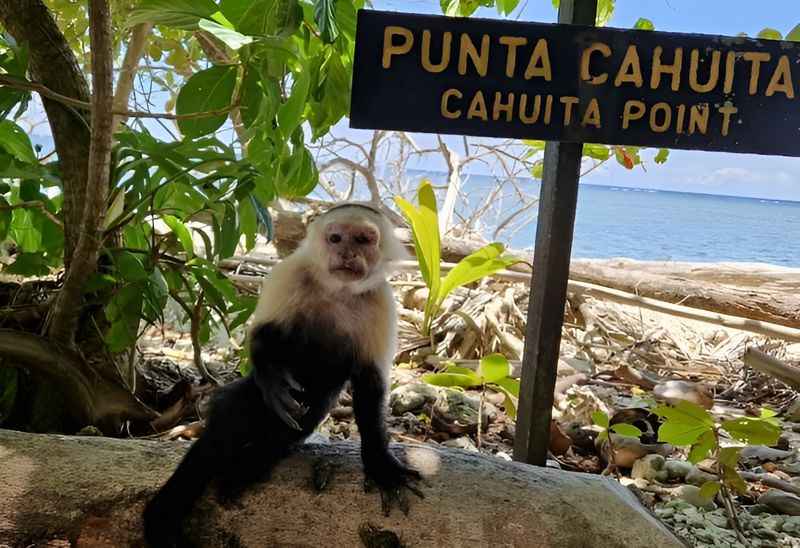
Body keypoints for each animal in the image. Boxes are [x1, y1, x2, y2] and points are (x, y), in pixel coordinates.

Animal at [144, 203, 422, 544]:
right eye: (335, 238)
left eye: (363, 239)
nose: (346, 253)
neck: (338, 291)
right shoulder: (290, 273)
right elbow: (262, 334)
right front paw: (275, 381)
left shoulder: (381, 300)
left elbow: (371, 386)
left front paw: (380, 464)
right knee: (230, 416)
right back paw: (163, 517)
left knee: (296, 422)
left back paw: (249, 465)